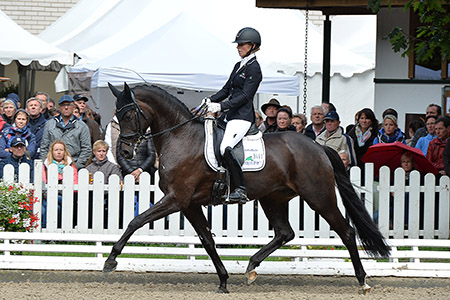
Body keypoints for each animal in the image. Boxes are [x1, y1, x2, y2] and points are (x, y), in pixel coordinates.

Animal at [103, 83, 390, 294]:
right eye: (117, 115)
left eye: (128, 114)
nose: (125, 152)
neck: (181, 137)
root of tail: (318, 146)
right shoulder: (190, 204)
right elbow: (207, 241)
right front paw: (223, 280)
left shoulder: (176, 199)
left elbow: (135, 221)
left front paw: (110, 260)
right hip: (273, 199)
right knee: (285, 233)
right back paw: (251, 266)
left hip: (319, 197)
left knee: (347, 232)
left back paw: (363, 281)